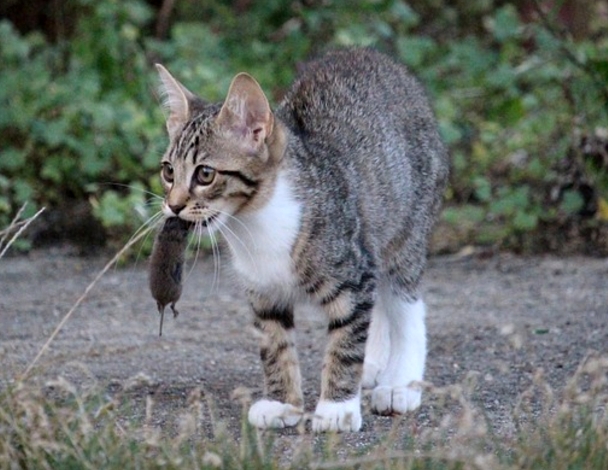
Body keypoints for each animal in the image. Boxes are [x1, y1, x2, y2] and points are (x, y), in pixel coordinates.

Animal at [154, 48, 448, 434]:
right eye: (168, 171)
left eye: (205, 174)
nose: (173, 205)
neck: (254, 221)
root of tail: (371, 54)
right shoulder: (263, 291)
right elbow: (274, 344)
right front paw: (282, 403)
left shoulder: (353, 273)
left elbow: (345, 343)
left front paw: (337, 408)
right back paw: (374, 366)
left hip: (405, 229)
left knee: (405, 303)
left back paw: (400, 382)